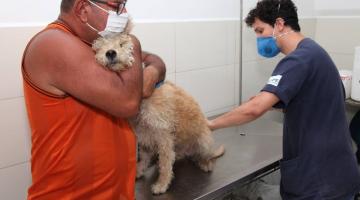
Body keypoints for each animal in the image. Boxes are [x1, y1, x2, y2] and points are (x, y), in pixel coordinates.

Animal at [91, 24, 224, 194]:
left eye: (122, 44)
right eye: (100, 47)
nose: (110, 53)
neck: (142, 100)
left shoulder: (163, 136)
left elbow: (165, 164)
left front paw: (162, 184)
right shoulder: (145, 136)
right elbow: (145, 158)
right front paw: (139, 171)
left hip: (204, 143)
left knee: (205, 156)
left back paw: (205, 163)